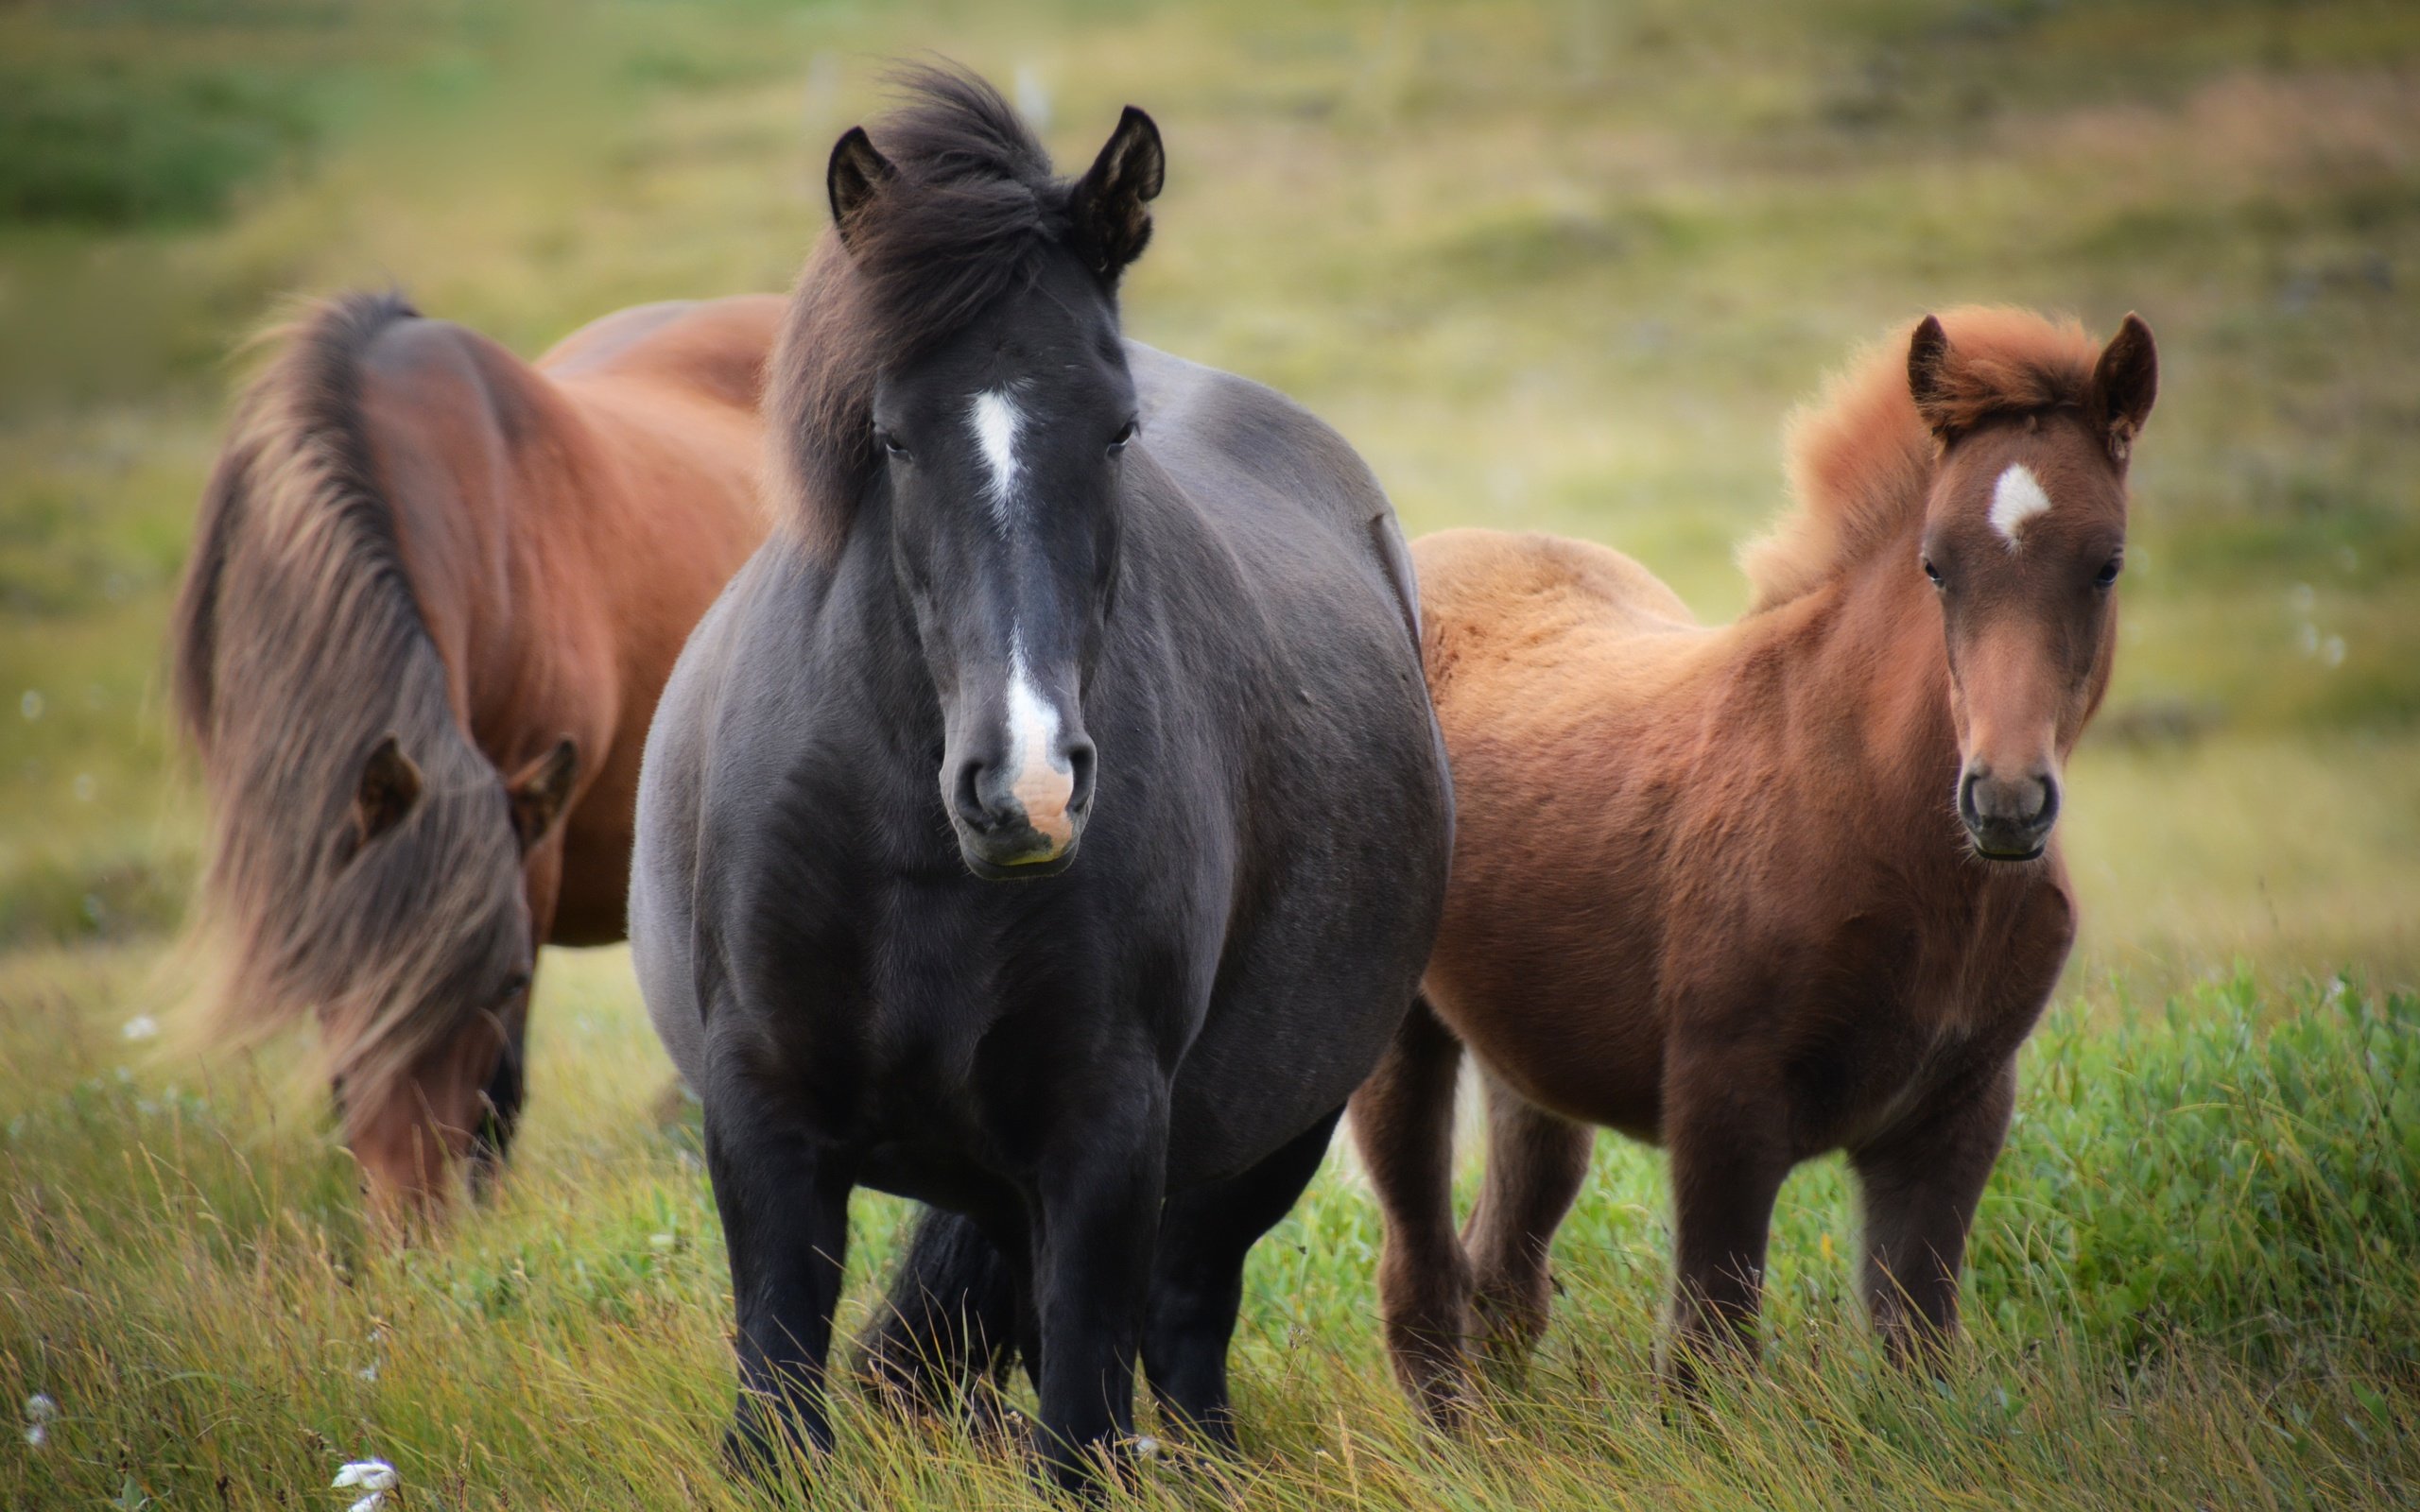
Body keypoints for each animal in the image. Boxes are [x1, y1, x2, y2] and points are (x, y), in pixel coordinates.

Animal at [629, 70, 1452, 1489]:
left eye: (1117, 431)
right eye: (891, 437)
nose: (1028, 788)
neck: (910, 851)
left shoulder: (1105, 1132)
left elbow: (1078, 1424)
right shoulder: (762, 1115)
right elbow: (780, 1401)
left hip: (1266, 1139)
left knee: (1183, 1328)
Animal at [1355, 307, 2168, 1413]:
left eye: (2107, 563)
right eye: (1935, 564)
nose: (2004, 801)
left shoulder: (1954, 1117)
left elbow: (1916, 1348)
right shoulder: (1723, 1101)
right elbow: (1708, 1350)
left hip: (1528, 1055)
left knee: (1505, 1268)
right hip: (1397, 1038)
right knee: (1421, 1278)